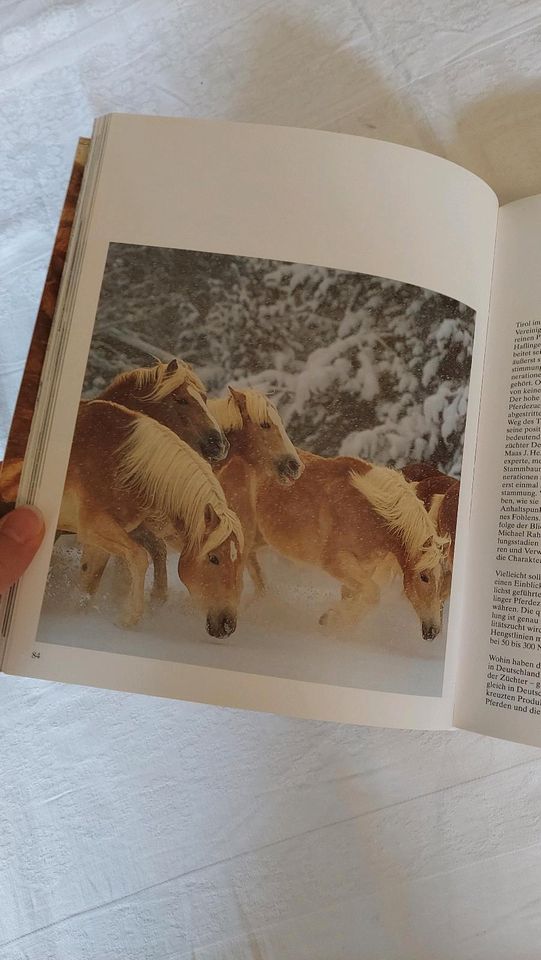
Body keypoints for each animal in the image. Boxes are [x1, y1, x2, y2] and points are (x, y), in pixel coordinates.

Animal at [60, 400, 243, 636]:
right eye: (214, 558)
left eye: (239, 562)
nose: (228, 625)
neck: (119, 462)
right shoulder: (93, 527)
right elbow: (139, 557)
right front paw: (129, 617)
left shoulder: (101, 540)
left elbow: (88, 585)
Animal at [255, 452, 450, 644]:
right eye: (424, 576)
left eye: (443, 579)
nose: (433, 631)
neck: (371, 511)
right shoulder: (336, 562)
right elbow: (372, 594)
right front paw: (332, 620)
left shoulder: (362, 568)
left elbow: (355, 596)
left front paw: (335, 622)